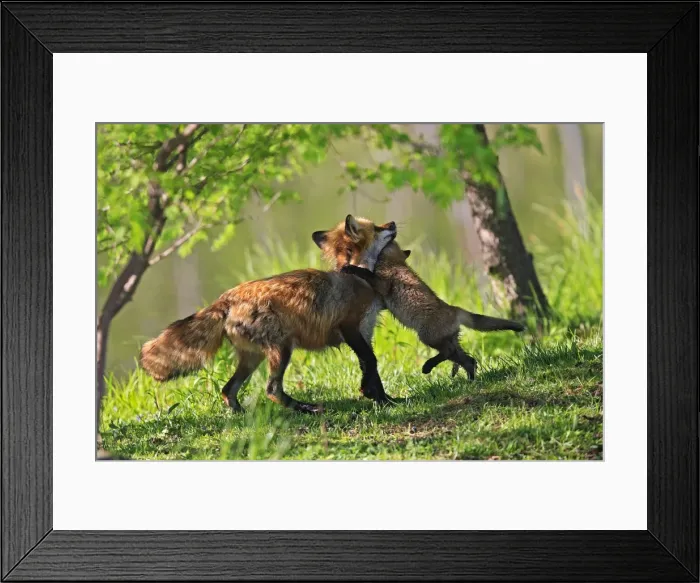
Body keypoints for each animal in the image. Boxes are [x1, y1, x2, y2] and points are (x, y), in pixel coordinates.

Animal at [139, 219, 398, 414]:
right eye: (377, 228)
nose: (393, 223)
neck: (357, 276)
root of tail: (227, 298)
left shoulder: (365, 332)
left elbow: (370, 369)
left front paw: (383, 398)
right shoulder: (351, 327)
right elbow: (371, 363)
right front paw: (378, 398)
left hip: (252, 358)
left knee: (228, 390)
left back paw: (241, 415)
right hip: (281, 350)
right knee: (272, 390)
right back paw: (305, 408)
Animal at [312, 215, 525, 380]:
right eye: (377, 228)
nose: (392, 223)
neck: (394, 262)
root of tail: (454, 309)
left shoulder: (384, 283)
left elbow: (367, 275)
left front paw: (351, 269)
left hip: (428, 337)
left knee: (451, 353)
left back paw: (429, 367)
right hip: (446, 339)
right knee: (467, 359)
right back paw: (467, 377)